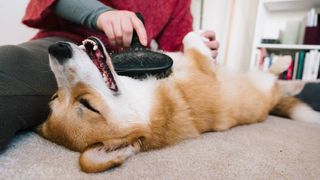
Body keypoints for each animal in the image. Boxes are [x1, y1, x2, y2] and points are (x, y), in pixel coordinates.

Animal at [35, 31, 320, 172]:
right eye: (89, 105)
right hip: (264, 90)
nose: (56, 49)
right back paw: (288, 67)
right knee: (274, 82)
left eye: (54, 96)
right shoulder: (201, 69)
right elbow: (190, 40)